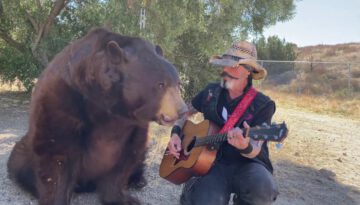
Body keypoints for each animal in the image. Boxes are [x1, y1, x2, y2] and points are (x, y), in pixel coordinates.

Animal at [7, 27, 187, 205]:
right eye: (161, 84)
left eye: (178, 83)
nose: (183, 110)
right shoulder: (62, 99)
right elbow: (58, 153)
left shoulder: (133, 126)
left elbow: (126, 156)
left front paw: (123, 198)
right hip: (23, 151)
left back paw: (138, 180)